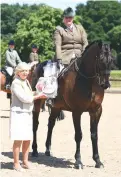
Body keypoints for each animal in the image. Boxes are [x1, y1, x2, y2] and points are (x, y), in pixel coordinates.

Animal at [31, 40, 114, 169]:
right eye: (100, 59)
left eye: (111, 59)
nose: (105, 84)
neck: (89, 81)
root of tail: (39, 66)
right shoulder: (77, 111)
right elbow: (78, 135)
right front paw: (78, 161)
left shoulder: (96, 111)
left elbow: (94, 135)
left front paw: (97, 160)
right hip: (37, 102)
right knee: (35, 124)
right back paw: (34, 150)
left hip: (56, 107)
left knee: (51, 124)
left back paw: (48, 150)